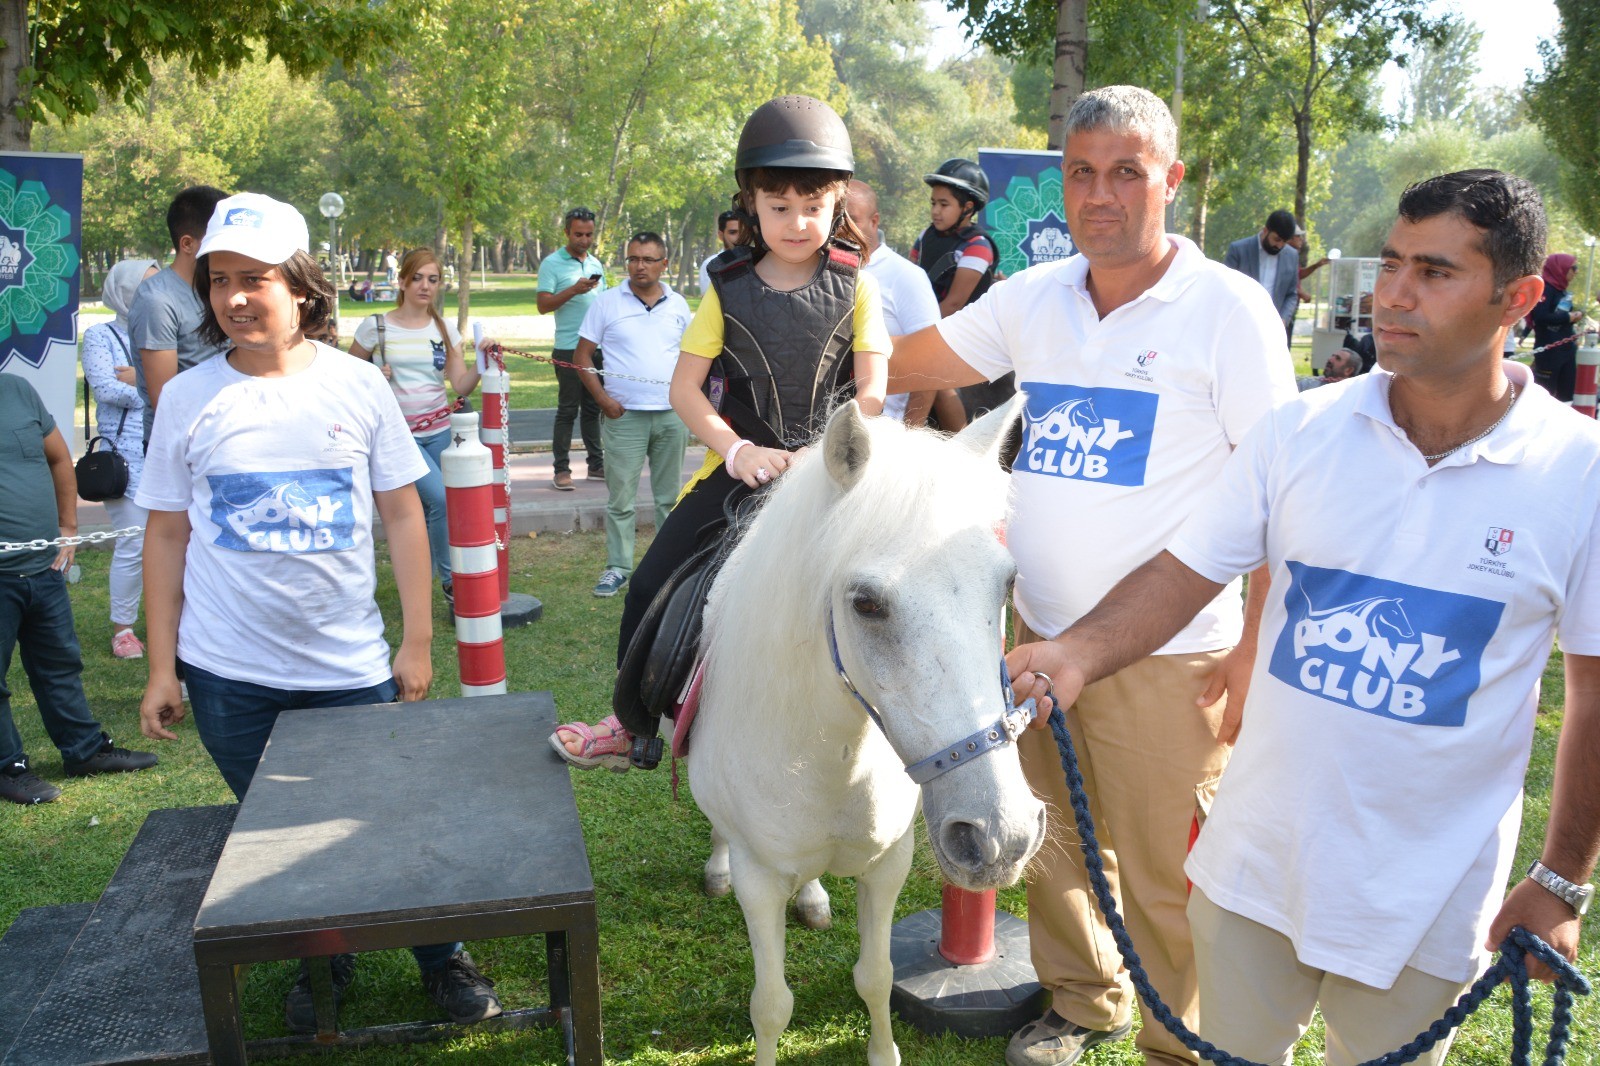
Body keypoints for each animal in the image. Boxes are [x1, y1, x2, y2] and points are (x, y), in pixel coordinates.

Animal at [688, 396, 1049, 1062]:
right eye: (866, 604)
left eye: (1007, 584)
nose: (1002, 836)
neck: (831, 757)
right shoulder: (760, 881)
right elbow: (770, 1004)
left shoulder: (888, 865)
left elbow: (875, 976)